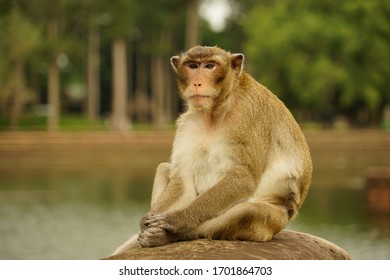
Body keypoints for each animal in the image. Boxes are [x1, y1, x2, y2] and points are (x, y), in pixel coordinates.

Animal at [112, 45, 310, 254]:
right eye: (192, 66)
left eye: (209, 66)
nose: (197, 82)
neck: (216, 110)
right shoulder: (188, 123)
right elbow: (182, 180)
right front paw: (147, 220)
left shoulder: (248, 114)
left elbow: (243, 178)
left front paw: (175, 221)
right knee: (165, 168)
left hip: (274, 220)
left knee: (247, 212)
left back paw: (170, 235)